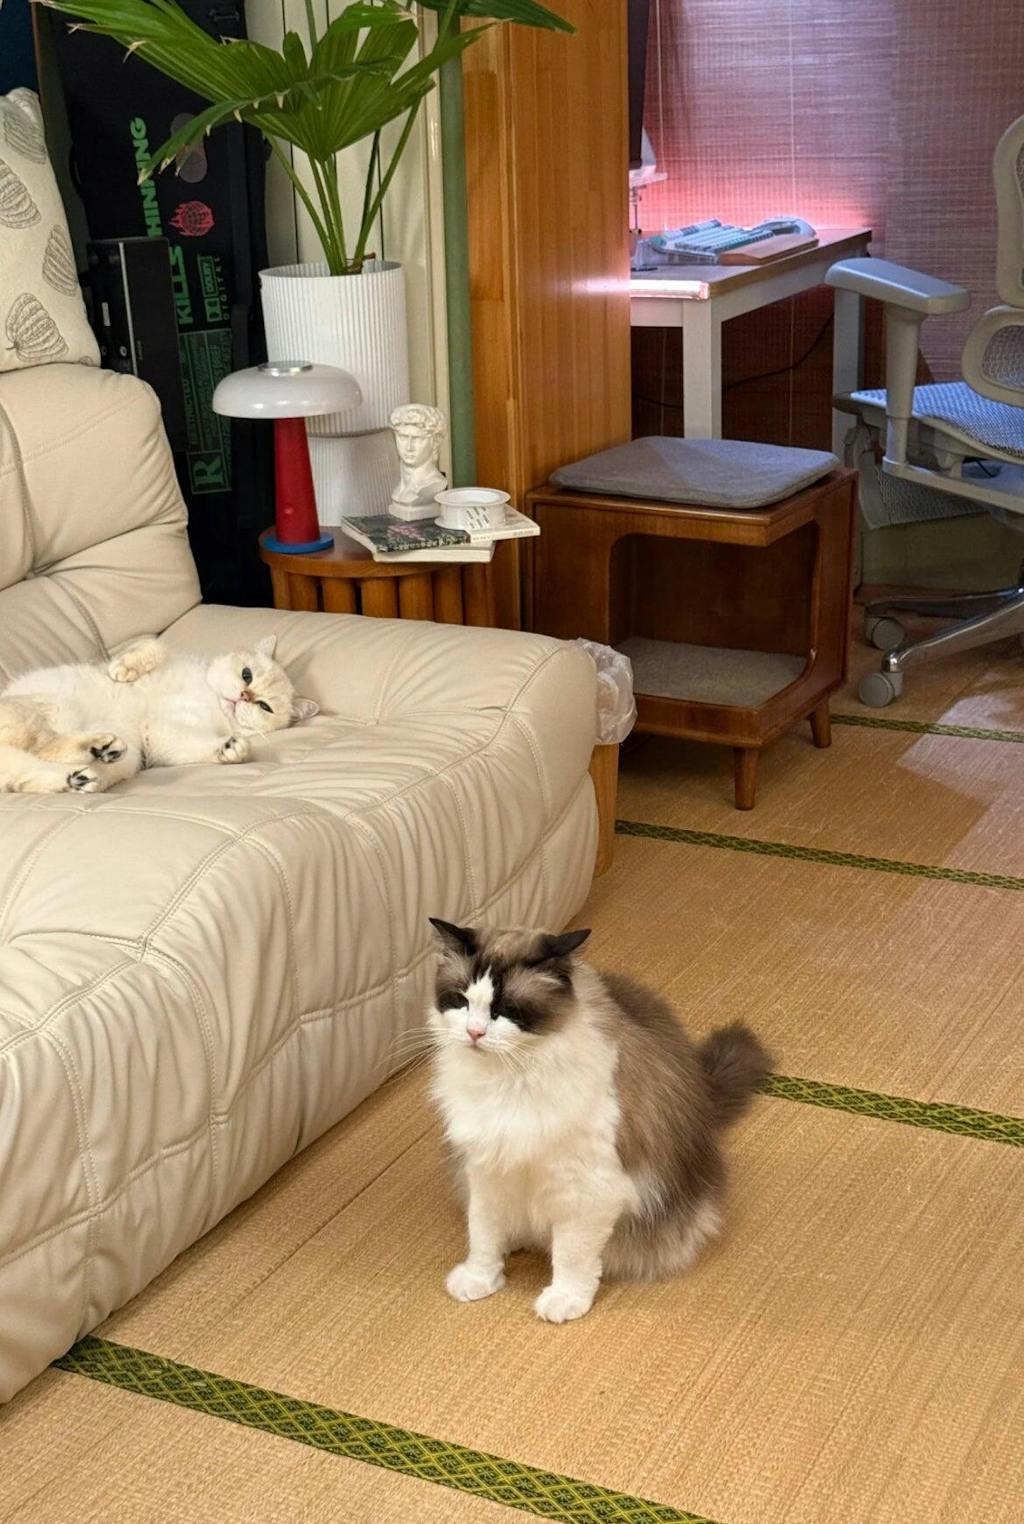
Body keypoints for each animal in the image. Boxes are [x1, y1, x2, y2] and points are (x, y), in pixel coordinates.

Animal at [0, 634, 319, 795]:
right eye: (247, 674)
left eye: (265, 707)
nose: (243, 696)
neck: (210, 698)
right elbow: (156, 645)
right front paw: (122, 669)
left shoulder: (162, 738)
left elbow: (201, 747)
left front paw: (231, 750)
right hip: (53, 707)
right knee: (42, 748)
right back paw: (98, 751)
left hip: (126, 758)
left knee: (35, 767)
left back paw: (89, 769)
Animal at [426, 918, 772, 1324]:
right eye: (461, 1001)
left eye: (506, 1009)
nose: (474, 1033)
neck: (508, 1080)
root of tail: (701, 1089)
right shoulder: (487, 1168)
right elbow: (483, 1234)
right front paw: (480, 1279)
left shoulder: (585, 1188)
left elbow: (571, 1256)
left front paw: (564, 1299)